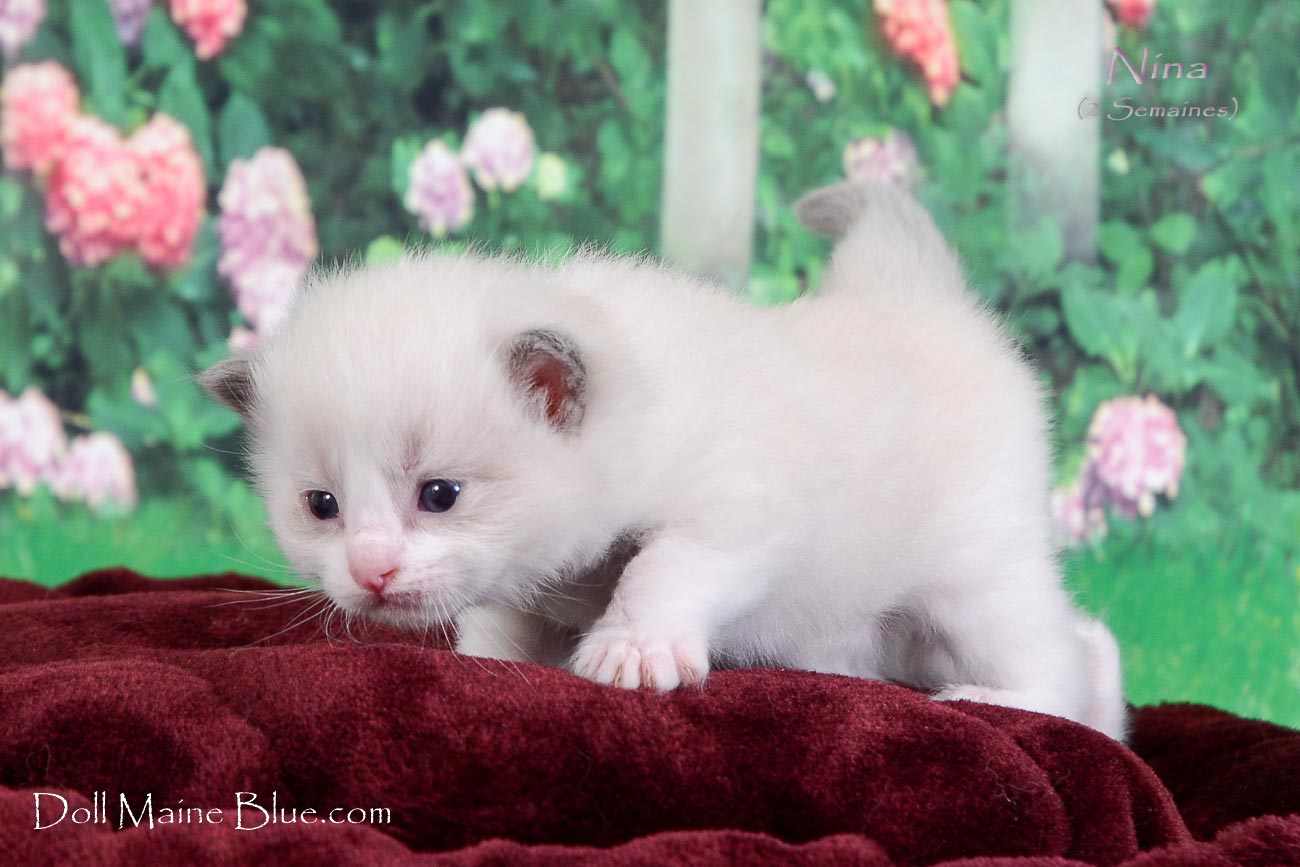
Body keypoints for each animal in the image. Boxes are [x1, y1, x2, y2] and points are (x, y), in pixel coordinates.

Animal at [200, 181, 1127, 740]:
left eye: (440, 493)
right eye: (321, 505)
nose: (372, 571)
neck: (632, 401)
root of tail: (917, 298)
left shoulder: (740, 509)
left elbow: (664, 565)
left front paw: (632, 649)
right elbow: (504, 625)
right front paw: (492, 665)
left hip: (974, 576)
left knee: (1063, 644)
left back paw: (1024, 706)